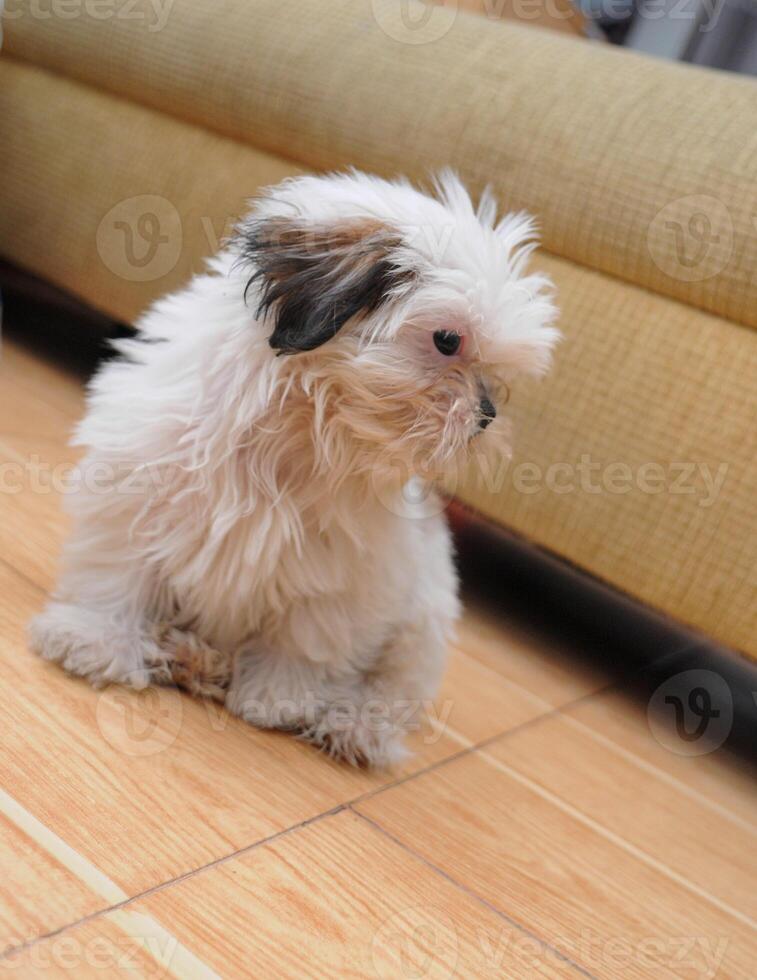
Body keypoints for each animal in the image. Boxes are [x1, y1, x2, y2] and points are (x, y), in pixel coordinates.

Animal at [29, 170, 560, 764]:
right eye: (447, 340)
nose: (486, 414)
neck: (306, 424)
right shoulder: (139, 481)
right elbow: (116, 571)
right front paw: (95, 638)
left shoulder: (346, 567)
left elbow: (310, 635)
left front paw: (278, 697)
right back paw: (192, 657)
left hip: (421, 622)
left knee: (394, 686)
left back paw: (352, 723)